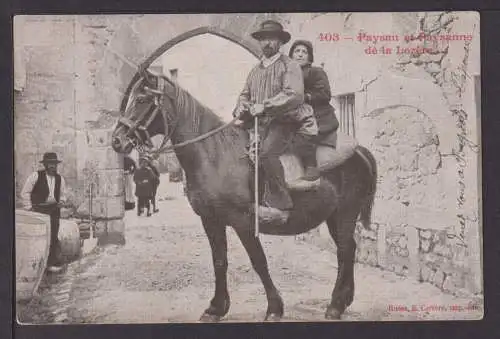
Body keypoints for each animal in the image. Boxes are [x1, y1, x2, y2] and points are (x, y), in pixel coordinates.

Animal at [111, 71, 376, 322]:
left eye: (142, 99)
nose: (117, 140)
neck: (215, 155)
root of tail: (359, 150)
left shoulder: (243, 222)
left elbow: (258, 261)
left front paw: (274, 308)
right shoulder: (211, 220)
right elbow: (219, 261)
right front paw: (216, 308)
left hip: (346, 213)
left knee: (344, 250)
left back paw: (335, 305)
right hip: (334, 216)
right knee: (348, 249)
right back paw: (344, 300)